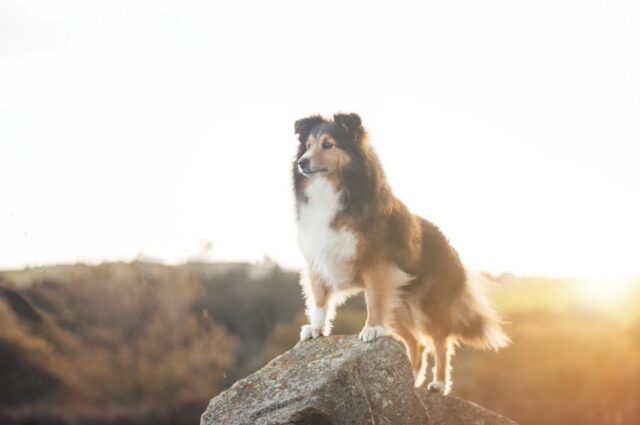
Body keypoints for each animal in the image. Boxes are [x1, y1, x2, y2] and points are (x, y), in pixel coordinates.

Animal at [292, 113, 508, 394]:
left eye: (328, 144)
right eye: (307, 145)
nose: (302, 162)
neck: (332, 190)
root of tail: (449, 245)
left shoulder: (377, 266)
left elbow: (373, 303)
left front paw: (371, 329)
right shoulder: (318, 260)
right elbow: (319, 300)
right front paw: (316, 329)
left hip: (429, 304)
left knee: (441, 342)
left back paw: (439, 383)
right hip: (398, 304)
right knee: (417, 343)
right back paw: (412, 382)